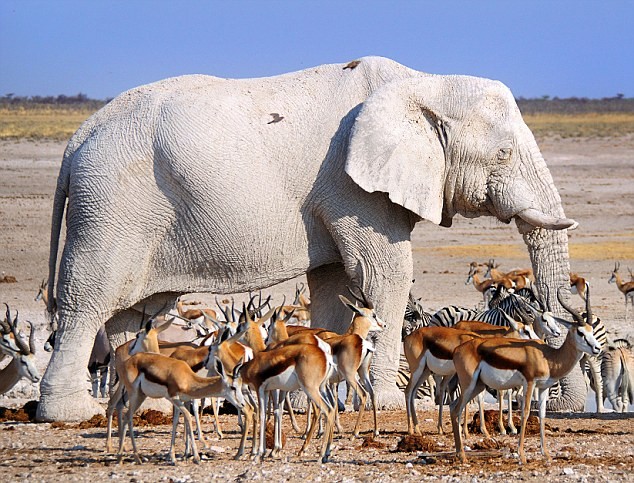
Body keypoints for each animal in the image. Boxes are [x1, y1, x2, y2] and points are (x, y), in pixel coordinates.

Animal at [34, 54, 576, 422]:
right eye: (503, 154)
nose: (564, 405)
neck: (422, 82)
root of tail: (76, 141)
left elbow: (335, 285)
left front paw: (303, 397)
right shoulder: (351, 186)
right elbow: (385, 275)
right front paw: (383, 403)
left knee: (135, 311)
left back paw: (152, 406)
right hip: (111, 206)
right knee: (89, 301)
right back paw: (72, 413)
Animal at [446, 286, 600, 466]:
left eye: (592, 330)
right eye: (581, 332)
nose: (597, 348)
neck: (548, 357)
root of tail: (458, 349)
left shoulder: (543, 388)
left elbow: (542, 414)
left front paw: (546, 454)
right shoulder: (529, 383)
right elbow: (525, 412)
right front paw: (522, 455)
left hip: (478, 385)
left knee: (453, 407)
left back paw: (460, 453)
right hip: (468, 384)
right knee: (456, 409)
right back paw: (462, 455)